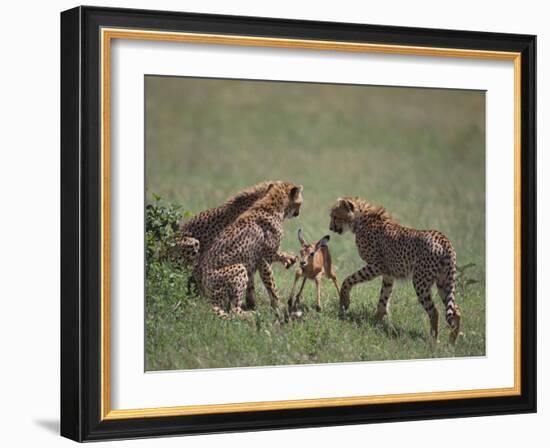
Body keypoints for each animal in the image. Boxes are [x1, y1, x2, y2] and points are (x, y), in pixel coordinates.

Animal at [198, 180, 304, 316]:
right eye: (300, 202)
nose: (298, 213)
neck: (272, 205)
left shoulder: (266, 255)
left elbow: (278, 254)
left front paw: (289, 258)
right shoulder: (264, 260)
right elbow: (272, 286)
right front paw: (279, 307)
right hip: (239, 268)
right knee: (234, 310)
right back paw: (251, 314)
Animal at [330, 197, 464, 344]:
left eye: (335, 216)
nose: (330, 228)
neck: (360, 219)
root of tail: (442, 238)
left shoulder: (377, 266)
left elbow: (348, 280)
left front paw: (344, 302)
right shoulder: (388, 273)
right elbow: (383, 297)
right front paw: (374, 321)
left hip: (420, 282)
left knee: (434, 312)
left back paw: (433, 341)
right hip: (444, 282)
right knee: (456, 312)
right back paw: (451, 342)